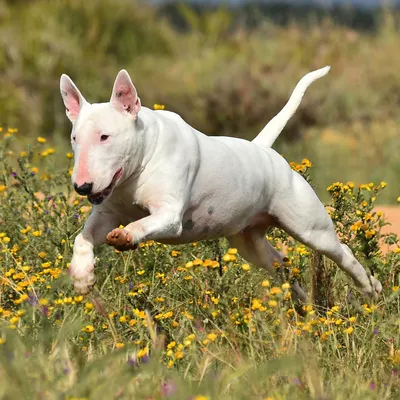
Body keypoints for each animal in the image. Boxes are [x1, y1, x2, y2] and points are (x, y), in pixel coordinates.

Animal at [58, 66, 382, 300]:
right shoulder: (107, 212)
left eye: (105, 136)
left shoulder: (170, 215)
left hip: (310, 227)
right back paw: (303, 304)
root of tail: (263, 149)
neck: (136, 168)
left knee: (342, 252)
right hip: (249, 242)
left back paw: (370, 288)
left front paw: (126, 235)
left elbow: (143, 223)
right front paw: (82, 276)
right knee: (281, 265)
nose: (82, 187)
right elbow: (83, 237)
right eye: (74, 138)